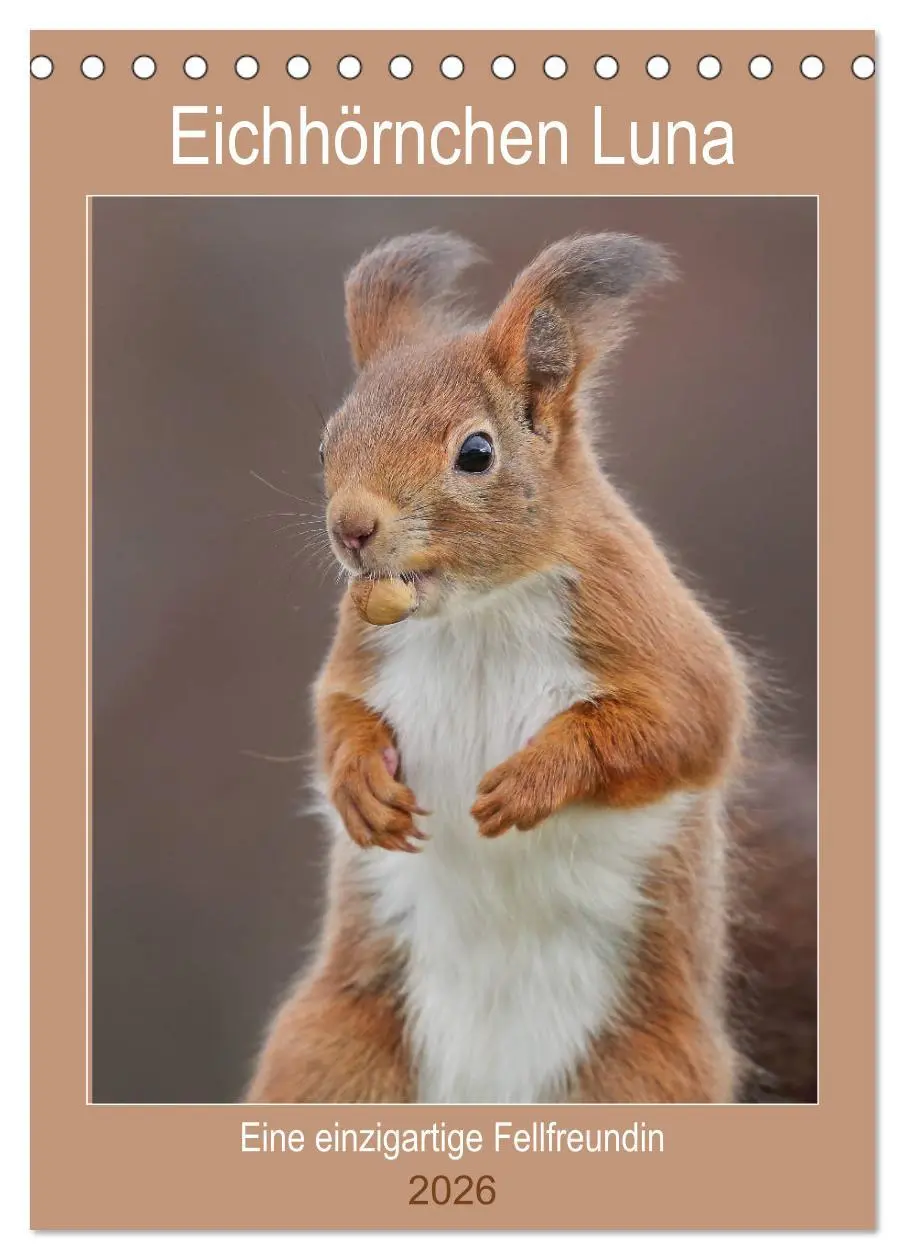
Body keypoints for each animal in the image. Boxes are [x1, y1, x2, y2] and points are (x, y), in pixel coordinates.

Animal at [246, 231, 816, 1105]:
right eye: (326, 442)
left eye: (475, 452)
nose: (351, 529)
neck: (476, 613)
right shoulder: (362, 645)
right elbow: (335, 710)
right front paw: (359, 784)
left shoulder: (648, 628)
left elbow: (686, 724)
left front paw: (533, 778)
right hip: (330, 1057)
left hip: (642, 1079)